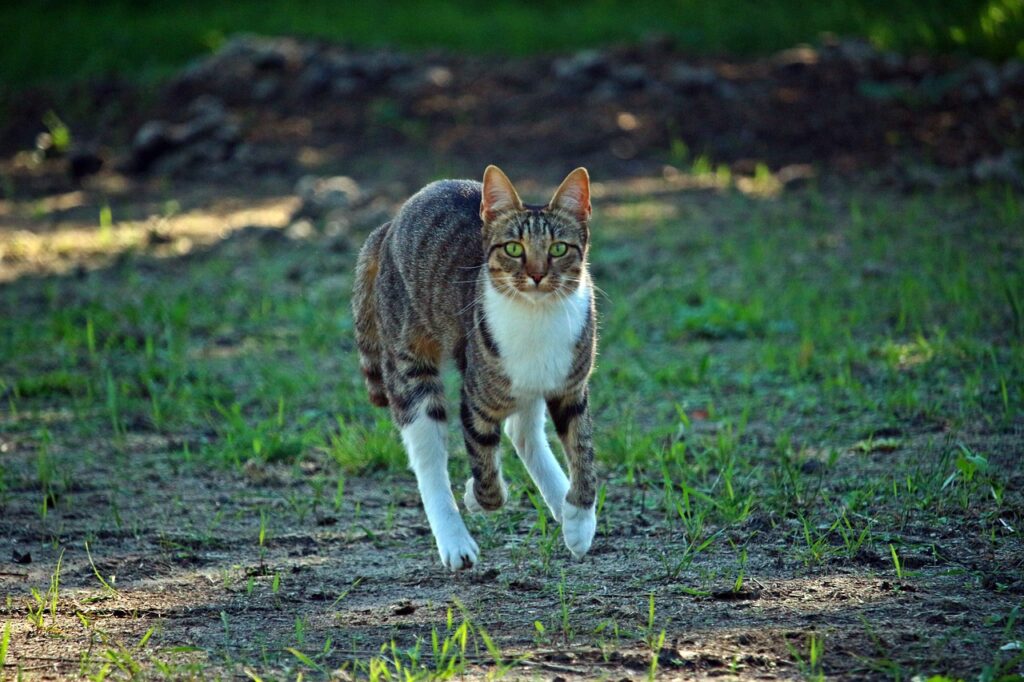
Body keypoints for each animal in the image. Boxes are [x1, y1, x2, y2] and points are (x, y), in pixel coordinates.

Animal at [352, 165, 598, 569]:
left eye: (559, 248)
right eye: (514, 248)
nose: (536, 275)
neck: (537, 318)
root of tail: (390, 224)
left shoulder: (571, 388)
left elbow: (583, 448)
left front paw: (579, 519)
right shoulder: (475, 400)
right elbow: (486, 477)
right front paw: (474, 494)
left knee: (521, 430)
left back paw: (560, 500)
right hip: (410, 365)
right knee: (429, 458)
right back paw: (454, 539)